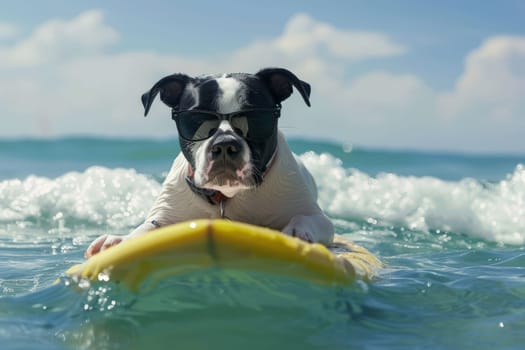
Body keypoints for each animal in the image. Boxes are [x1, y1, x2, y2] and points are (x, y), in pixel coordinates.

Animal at [84, 67, 334, 258]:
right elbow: (146, 228)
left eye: (255, 118)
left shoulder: (316, 217)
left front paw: (296, 232)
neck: (226, 197)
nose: (224, 144)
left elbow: (304, 217)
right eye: (196, 119)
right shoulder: (165, 215)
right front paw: (120, 239)